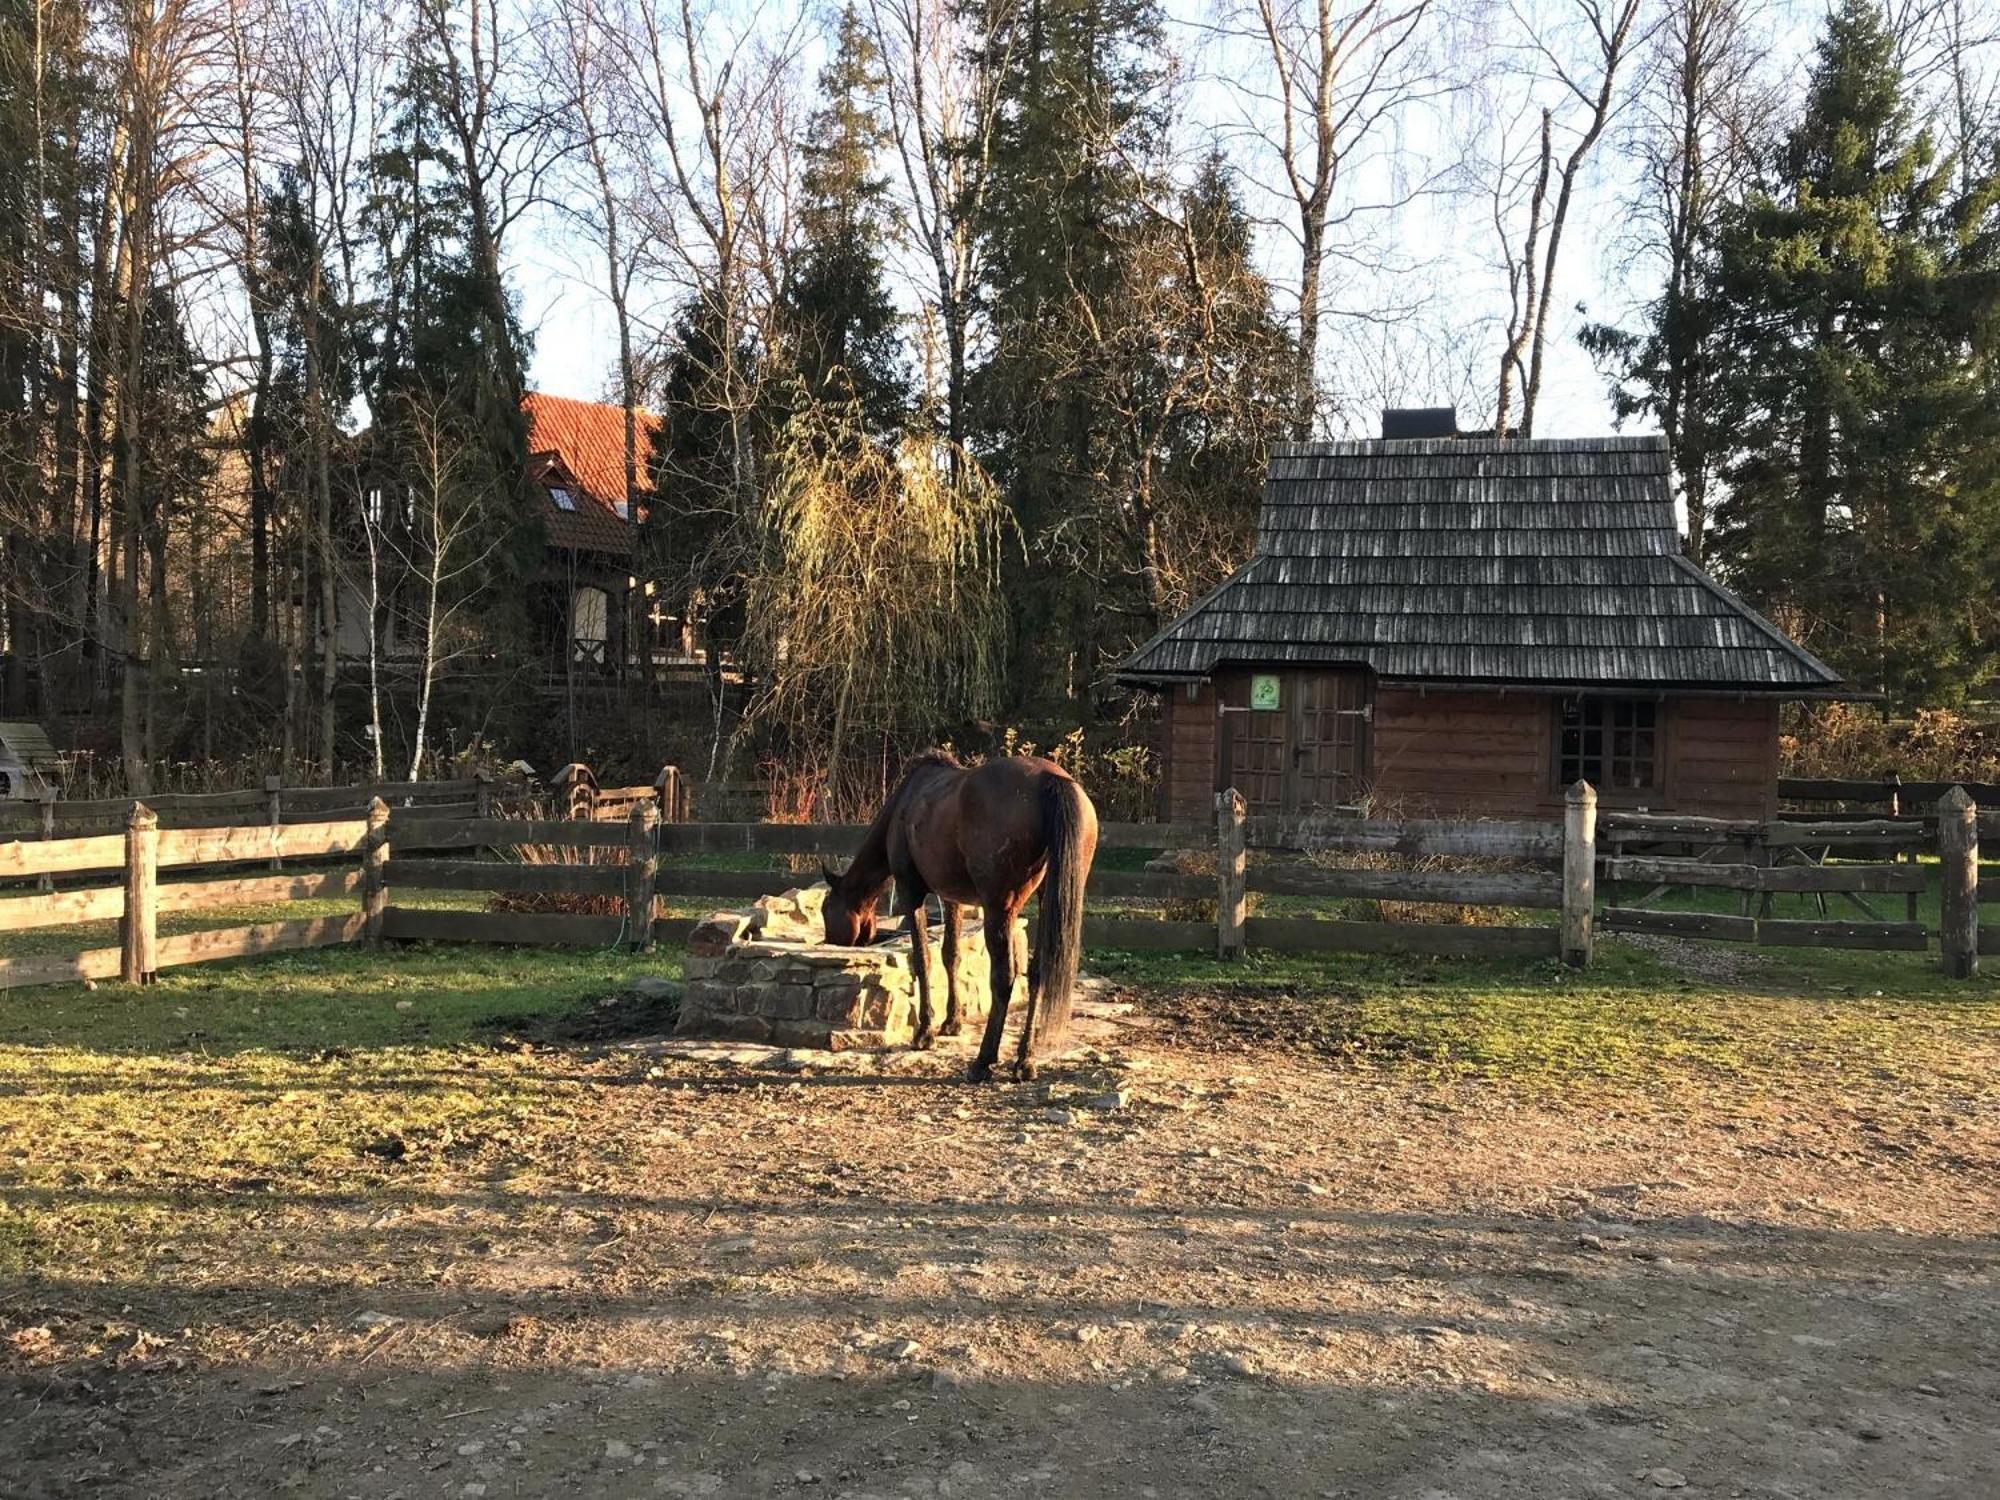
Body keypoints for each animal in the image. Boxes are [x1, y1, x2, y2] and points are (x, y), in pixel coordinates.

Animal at [824, 756, 1104, 1088]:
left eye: (826, 911)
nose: (829, 941)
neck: (905, 804)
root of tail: (1050, 780)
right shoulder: (952, 898)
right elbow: (951, 955)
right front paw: (951, 1022)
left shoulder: (910, 891)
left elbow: (923, 959)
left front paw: (925, 1033)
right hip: (1049, 899)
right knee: (1038, 973)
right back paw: (1025, 1061)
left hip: (999, 908)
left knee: (1004, 978)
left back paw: (983, 1062)